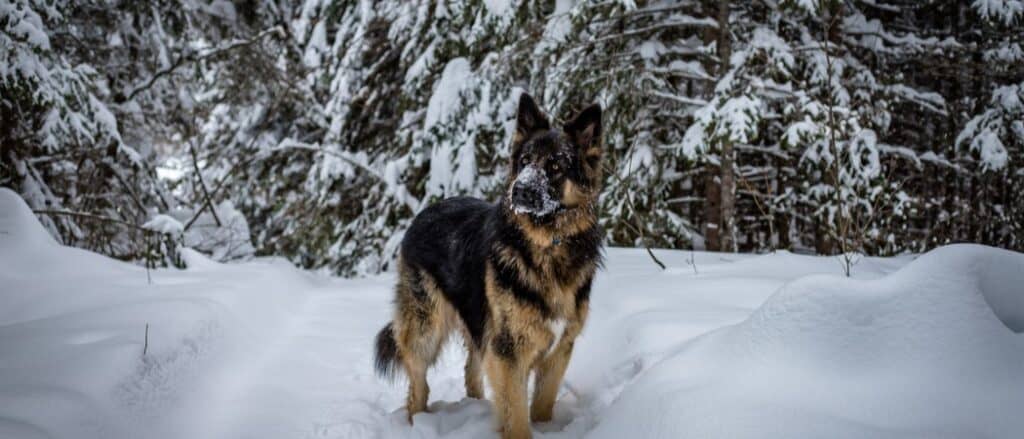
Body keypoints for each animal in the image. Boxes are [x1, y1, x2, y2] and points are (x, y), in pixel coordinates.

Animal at [374, 93, 598, 437]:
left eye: (555, 166)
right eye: (524, 162)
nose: (520, 190)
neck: (546, 245)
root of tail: (424, 212)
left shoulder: (559, 350)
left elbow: (542, 405)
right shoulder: (509, 352)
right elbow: (516, 415)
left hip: (478, 323)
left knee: (471, 370)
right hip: (426, 329)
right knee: (418, 388)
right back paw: (418, 423)